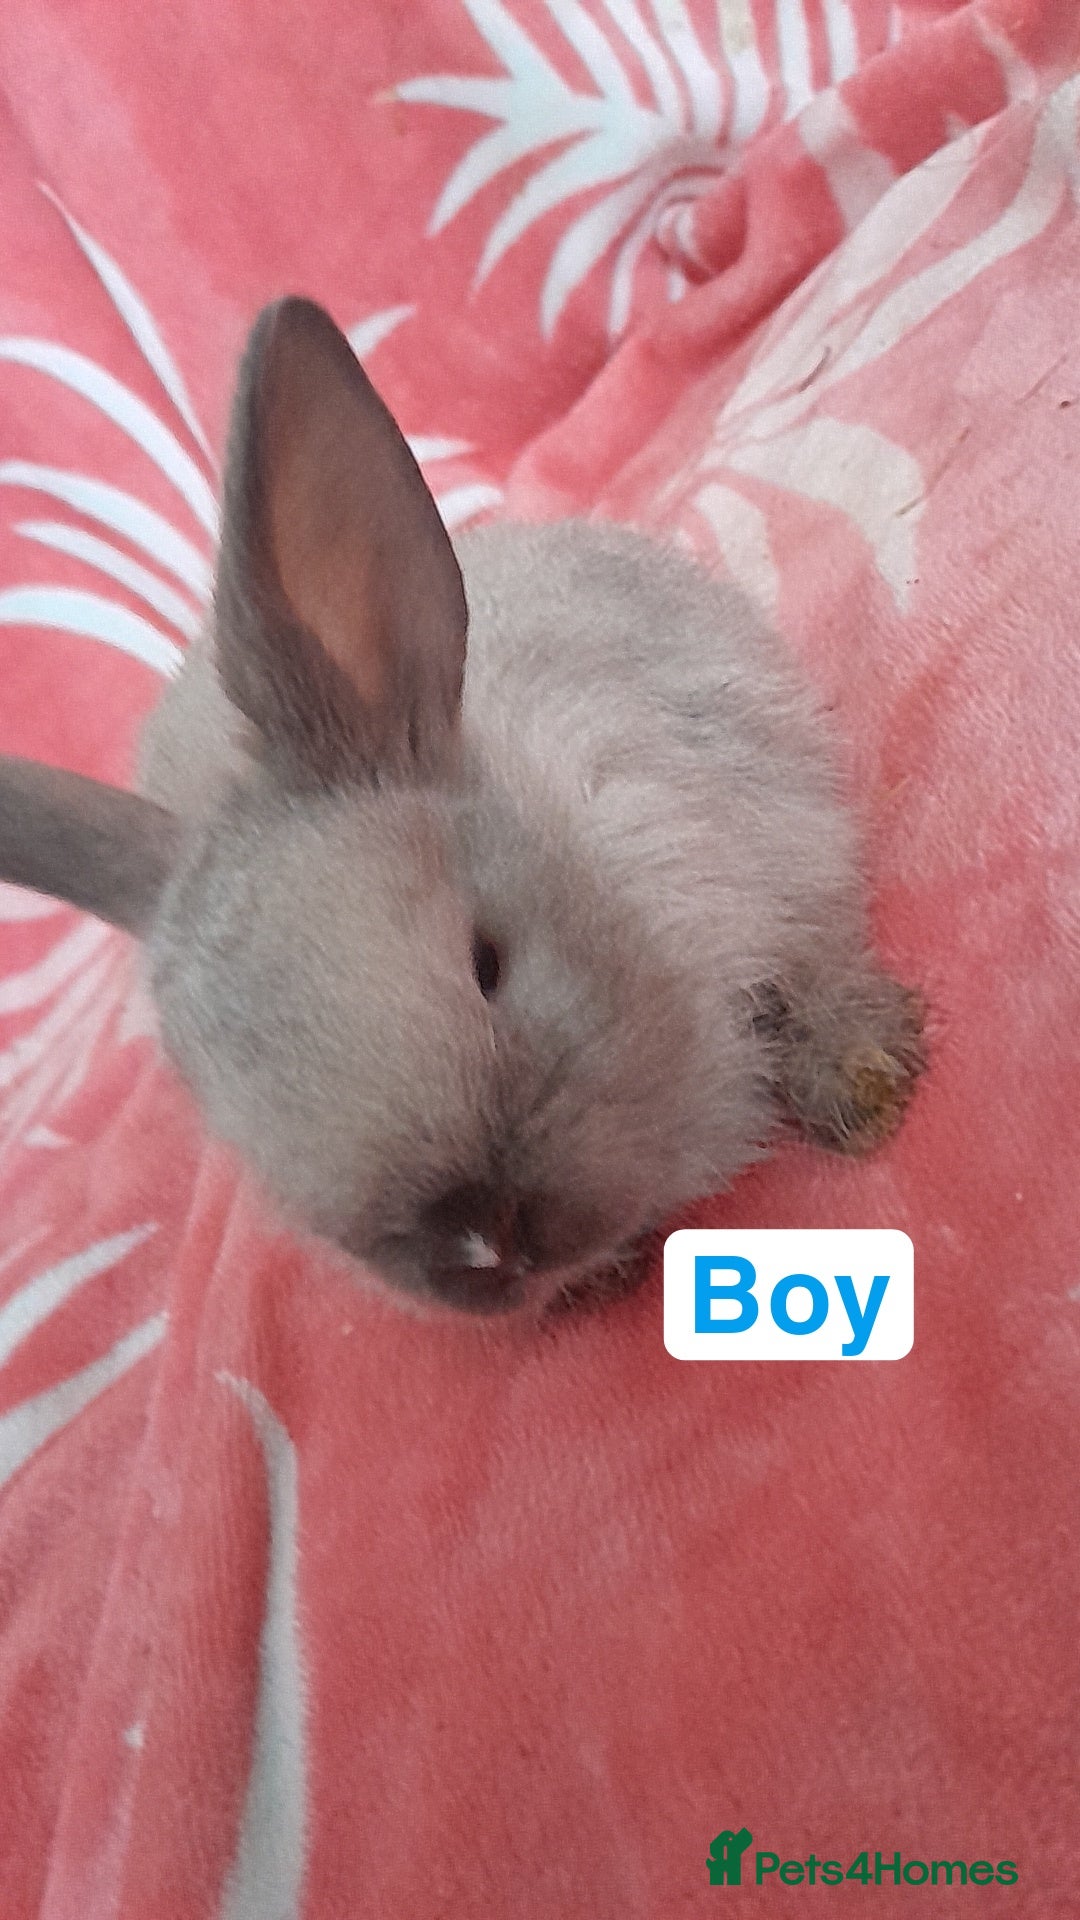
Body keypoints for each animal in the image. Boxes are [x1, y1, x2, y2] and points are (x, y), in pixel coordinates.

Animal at [0, 298, 924, 1317]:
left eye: (488, 961)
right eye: (243, 1131)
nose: (484, 1251)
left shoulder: (784, 850)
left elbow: (818, 968)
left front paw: (868, 1088)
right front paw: (601, 1284)